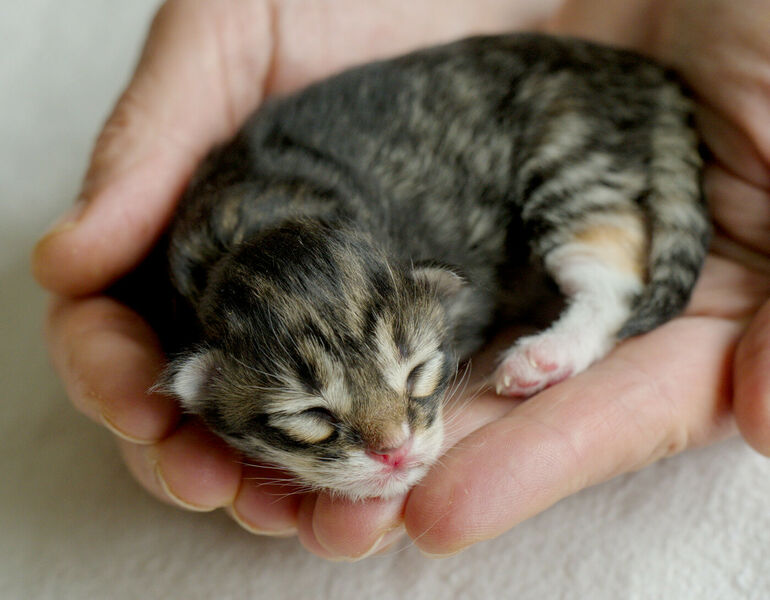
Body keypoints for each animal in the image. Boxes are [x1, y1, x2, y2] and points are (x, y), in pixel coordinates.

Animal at [160, 34, 708, 502]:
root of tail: (634, 68)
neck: (256, 223)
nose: (395, 452)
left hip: (569, 153)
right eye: (312, 414)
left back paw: (544, 356)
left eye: (417, 373)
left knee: (612, 281)